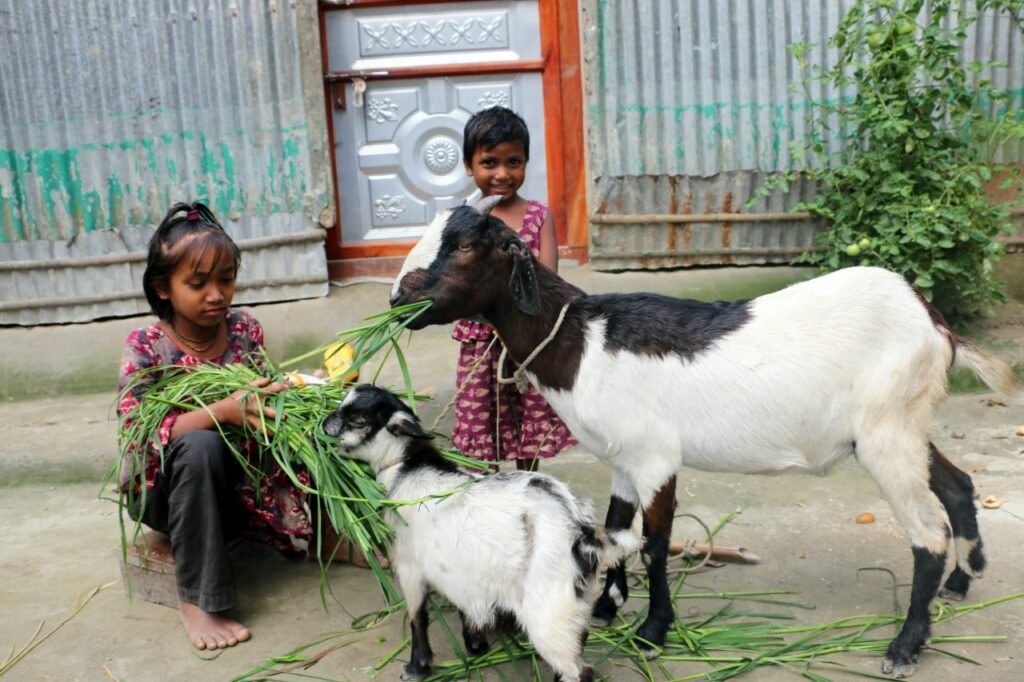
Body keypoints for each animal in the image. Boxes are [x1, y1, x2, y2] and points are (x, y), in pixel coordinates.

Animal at [323, 382, 634, 679]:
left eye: (358, 420)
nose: (324, 424)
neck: (406, 470)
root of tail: (581, 531)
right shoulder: (461, 569)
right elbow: (464, 603)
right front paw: (475, 643)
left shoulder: (409, 566)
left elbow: (417, 616)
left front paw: (417, 667)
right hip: (577, 601)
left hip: (548, 610)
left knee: (577, 670)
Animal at [387, 195, 1019, 675]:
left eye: (464, 246)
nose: (397, 300)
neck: (585, 340)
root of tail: (934, 323)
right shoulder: (622, 458)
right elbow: (615, 529)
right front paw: (608, 606)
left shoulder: (656, 456)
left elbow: (654, 544)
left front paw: (652, 631)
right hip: (902, 424)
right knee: (958, 484)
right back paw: (962, 581)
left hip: (887, 434)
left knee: (928, 533)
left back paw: (906, 645)